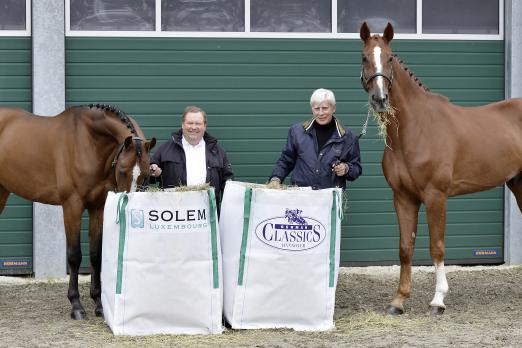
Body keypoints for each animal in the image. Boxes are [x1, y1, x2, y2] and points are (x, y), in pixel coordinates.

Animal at [0, 104, 155, 320]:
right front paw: (76, 305)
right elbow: (74, 256)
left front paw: (98, 303)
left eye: (147, 173)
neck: (89, 142)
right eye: (122, 170)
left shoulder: (97, 207)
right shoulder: (72, 206)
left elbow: (96, 255)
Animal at [360, 21, 520, 316]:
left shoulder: (436, 196)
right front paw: (398, 301)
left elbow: (437, 247)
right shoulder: (403, 198)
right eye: (365, 57)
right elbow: (405, 247)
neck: (416, 128)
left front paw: (438, 300)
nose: (380, 99)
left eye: (390, 58)